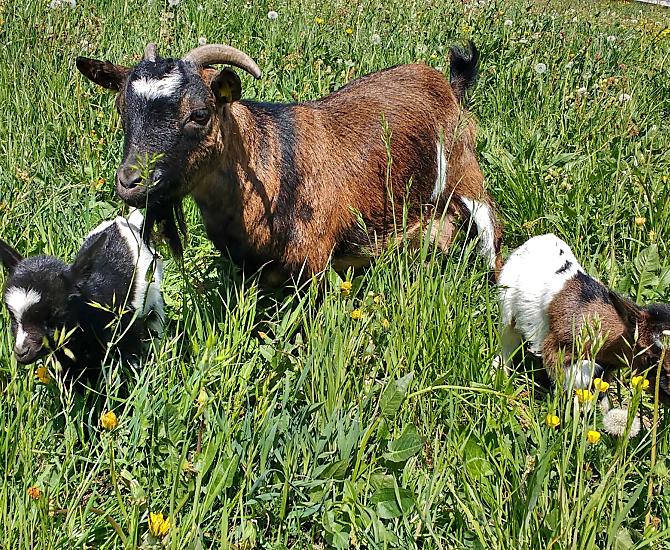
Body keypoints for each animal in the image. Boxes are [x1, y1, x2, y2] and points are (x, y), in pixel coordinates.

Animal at [76, 41, 503, 280]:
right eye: (121, 108)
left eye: (200, 113)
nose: (130, 182)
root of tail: (448, 86)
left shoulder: (313, 263)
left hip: (467, 178)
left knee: (491, 235)